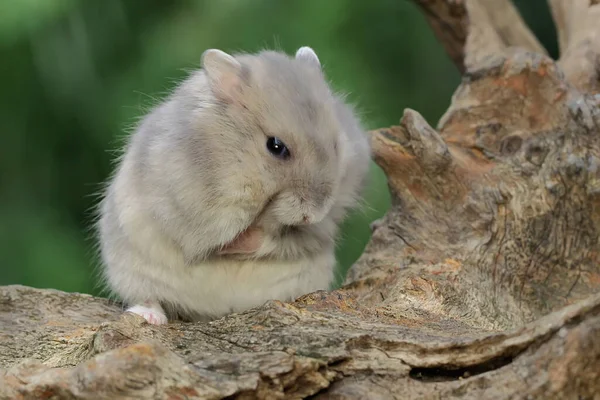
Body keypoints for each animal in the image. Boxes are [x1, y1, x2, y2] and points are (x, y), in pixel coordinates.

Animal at [97, 46, 370, 324]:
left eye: (335, 145)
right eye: (275, 146)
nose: (311, 215)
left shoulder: (328, 218)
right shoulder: (193, 207)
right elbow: (223, 237)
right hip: (131, 270)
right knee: (148, 296)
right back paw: (150, 316)